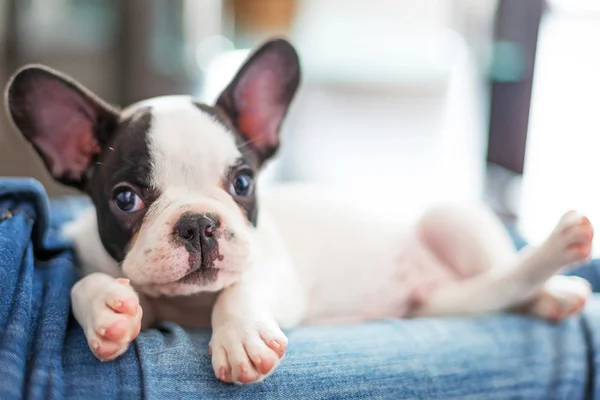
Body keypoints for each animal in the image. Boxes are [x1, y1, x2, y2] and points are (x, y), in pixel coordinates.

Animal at [3, 38, 596, 384]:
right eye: (125, 199)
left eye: (243, 182)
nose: (199, 224)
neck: (189, 305)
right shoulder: (90, 259)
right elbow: (82, 283)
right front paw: (106, 310)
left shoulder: (278, 275)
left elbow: (243, 289)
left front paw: (240, 336)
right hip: (443, 301)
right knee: (487, 292)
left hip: (454, 217)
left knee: (502, 269)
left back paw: (555, 276)